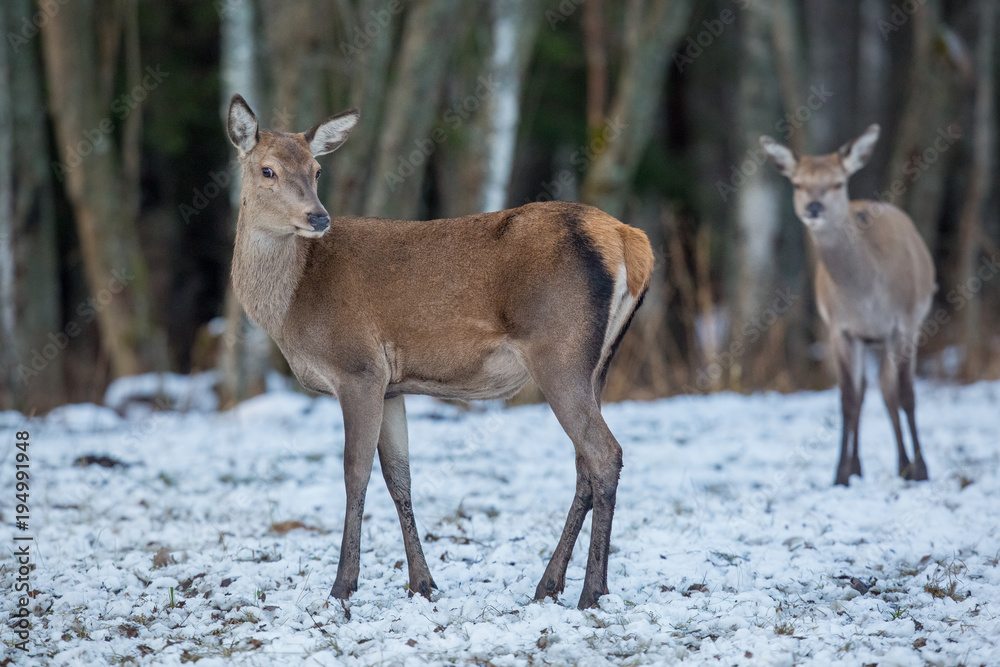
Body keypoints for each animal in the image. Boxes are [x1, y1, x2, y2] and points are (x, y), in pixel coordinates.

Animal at [225, 94, 654, 609]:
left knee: (604, 454)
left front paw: (343, 585)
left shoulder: (358, 368)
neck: (291, 309)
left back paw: (591, 591)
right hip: (598, 365)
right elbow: (399, 479)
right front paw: (422, 583)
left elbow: (355, 473)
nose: (318, 217)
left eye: (317, 169)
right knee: (584, 465)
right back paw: (551, 584)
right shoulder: (391, 384)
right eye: (267, 170)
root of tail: (632, 241)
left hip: (560, 353)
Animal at [760, 125, 936, 486]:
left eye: (838, 182)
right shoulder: (839, 328)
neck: (866, 296)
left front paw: (922, 470)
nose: (813, 207)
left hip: (909, 326)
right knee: (872, 388)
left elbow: (907, 394)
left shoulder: (903, 324)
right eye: (797, 183)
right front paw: (842, 472)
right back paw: (878, 464)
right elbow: (848, 398)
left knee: (890, 389)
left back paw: (906, 464)